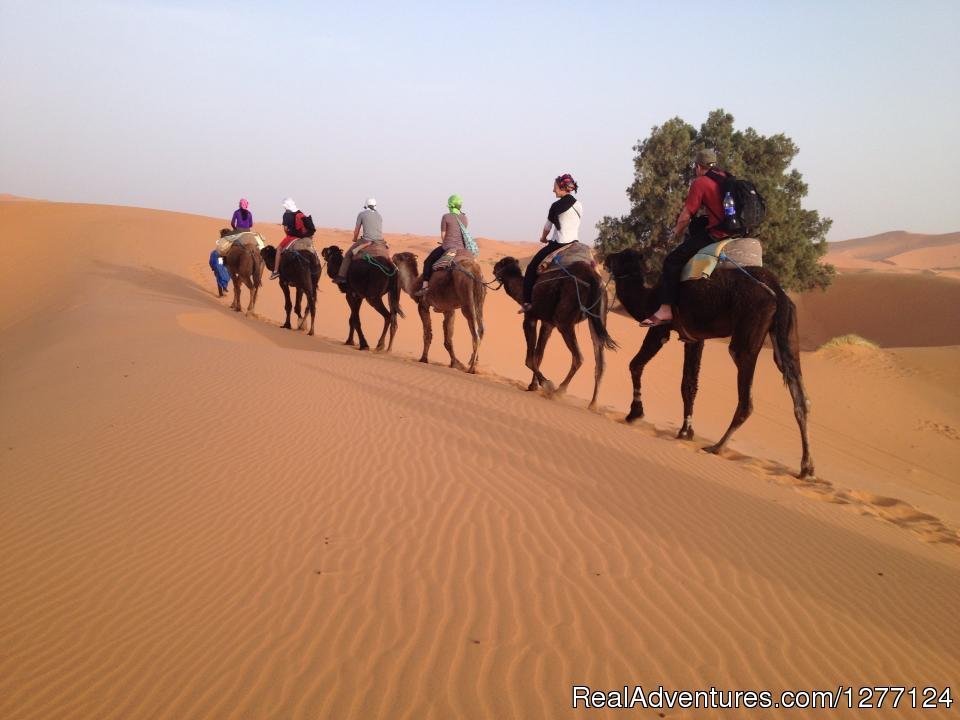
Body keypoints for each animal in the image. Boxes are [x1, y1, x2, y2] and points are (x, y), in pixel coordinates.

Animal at [492, 256, 620, 408]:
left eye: (501, 263)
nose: (494, 268)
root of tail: (593, 277)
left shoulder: (530, 317)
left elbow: (529, 358)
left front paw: (546, 384)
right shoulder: (548, 324)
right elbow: (539, 355)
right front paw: (533, 386)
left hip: (564, 321)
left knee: (579, 357)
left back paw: (559, 391)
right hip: (597, 318)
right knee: (600, 362)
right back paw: (593, 404)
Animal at [604, 248, 812, 478]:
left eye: (620, 256)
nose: (605, 258)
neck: (648, 298)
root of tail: (778, 293)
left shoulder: (660, 329)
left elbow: (635, 364)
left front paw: (635, 413)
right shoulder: (694, 338)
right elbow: (688, 384)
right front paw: (686, 431)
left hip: (747, 333)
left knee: (746, 397)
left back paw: (716, 447)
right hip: (786, 336)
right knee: (800, 397)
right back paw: (806, 467)